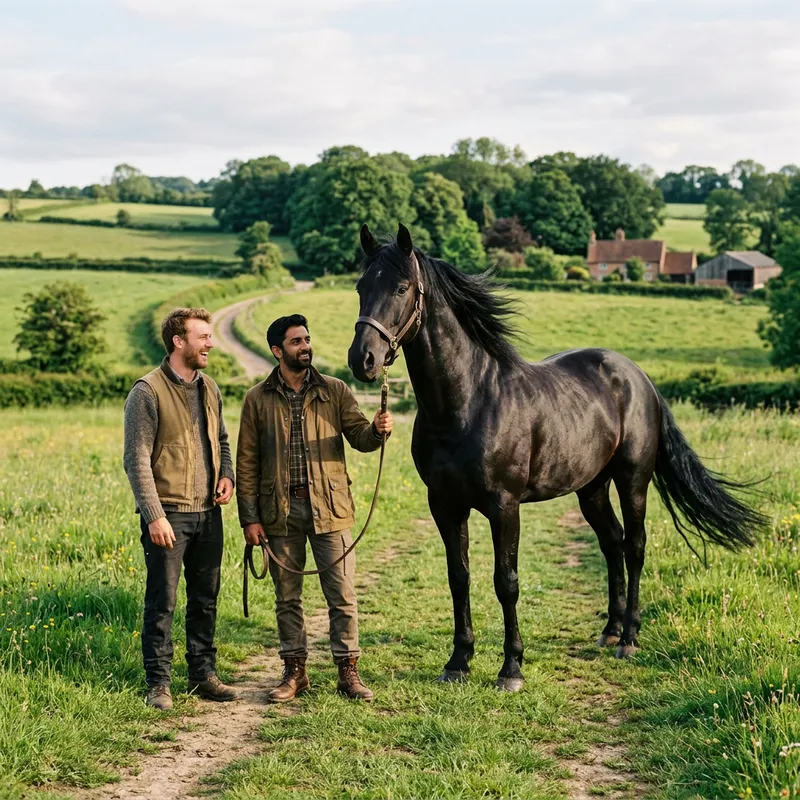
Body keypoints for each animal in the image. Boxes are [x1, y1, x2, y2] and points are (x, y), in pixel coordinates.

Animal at [347, 223, 767, 692]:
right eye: (361, 286)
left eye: (402, 287)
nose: (362, 360)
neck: (468, 401)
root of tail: (639, 378)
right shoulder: (444, 504)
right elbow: (459, 578)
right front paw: (458, 661)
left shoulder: (504, 506)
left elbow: (506, 582)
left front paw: (511, 668)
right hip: (592, 488)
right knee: (612, 542)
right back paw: (610, 631)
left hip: (633, 480)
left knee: (635, 546)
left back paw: (630, 638)